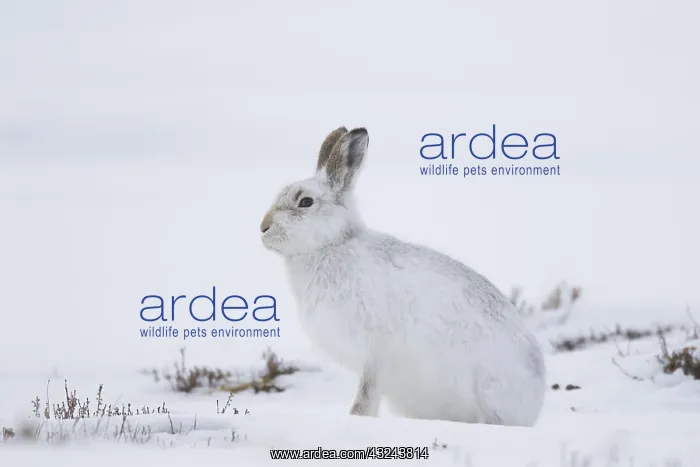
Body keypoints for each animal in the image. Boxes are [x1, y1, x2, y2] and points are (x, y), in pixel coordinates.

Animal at [259, 126, 546, 426]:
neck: (331, 245)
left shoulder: (375, 355)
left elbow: (365, 396)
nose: (263, 228)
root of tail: (533, 405)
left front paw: (356, 419)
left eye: (305, 202)